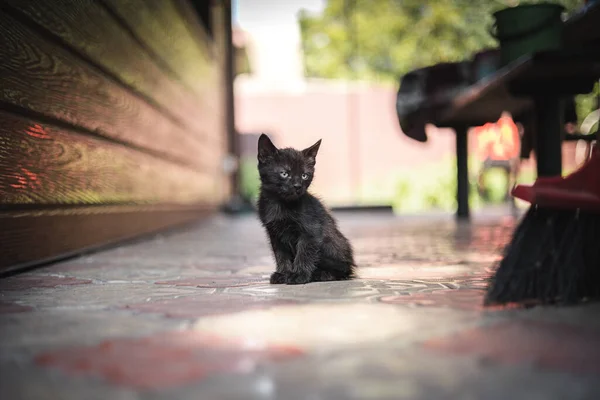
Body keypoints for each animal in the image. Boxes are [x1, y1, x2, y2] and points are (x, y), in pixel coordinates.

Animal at [255, 134, 354, 284]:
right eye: (284, 173)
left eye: (304, 175)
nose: (297, 186)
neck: (281, 205)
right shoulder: (274, 233)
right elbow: (281, 254)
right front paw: (283, 273)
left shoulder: (310, 231)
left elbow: (304, 253)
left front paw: (298, 275)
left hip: (329, 241)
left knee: (343, 269)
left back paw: (321, 274)